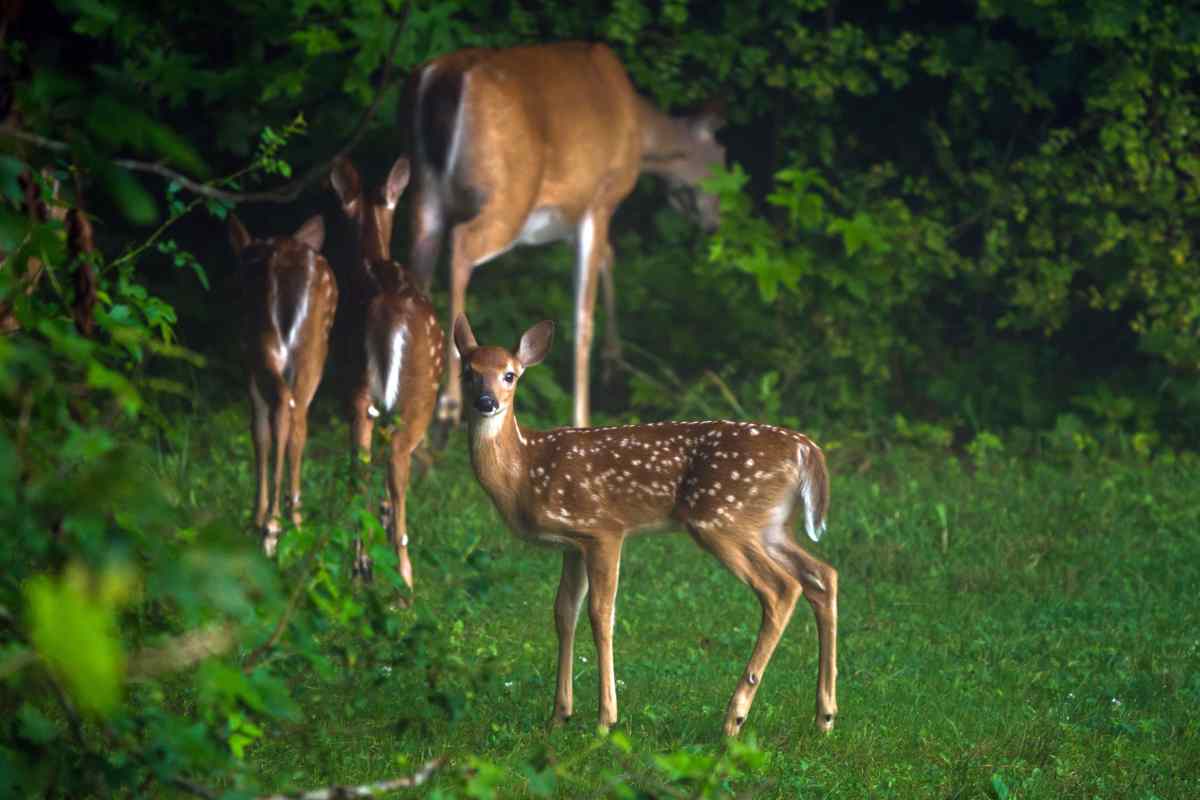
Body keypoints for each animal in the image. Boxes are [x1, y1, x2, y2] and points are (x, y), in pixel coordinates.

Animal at [228, 215, 338, 561]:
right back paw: (295, 525)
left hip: (264, 345)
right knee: (298, 418)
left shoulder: (247, 364)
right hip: (311, 352)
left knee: (281, 411)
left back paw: (271, 526)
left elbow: (258, 432)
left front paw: (257, 517)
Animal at [328, 154, 441, 587]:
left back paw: (359, 569)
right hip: (418, 397)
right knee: (394, 464)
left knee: (358, 468)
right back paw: (403, 580)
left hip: (359, 391)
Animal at [408, 42, 724, 431]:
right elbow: (582, 319)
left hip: (423, 195)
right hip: (508, 197)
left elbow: (608, 257)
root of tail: (443, 78)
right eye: (722, 159)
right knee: (461, 248)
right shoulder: (599, 199)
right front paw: (584, 416)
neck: (639, 129)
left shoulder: (570, 221)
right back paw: (449, 403)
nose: (714, 223)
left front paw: (614, 365)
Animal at [453, 314, 840, 738]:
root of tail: (806, 450)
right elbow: (564, 614)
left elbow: (601, 615)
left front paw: (606, 719)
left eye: (510, 375)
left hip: (722, 519)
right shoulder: (573, 542)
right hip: (768, 525)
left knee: (781, 588)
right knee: (822, 574)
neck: (525, 471)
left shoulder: (604, 528)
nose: (486, 402)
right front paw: (559, 716)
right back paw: (824, 716)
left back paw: (734, 717)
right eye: (468, 372)